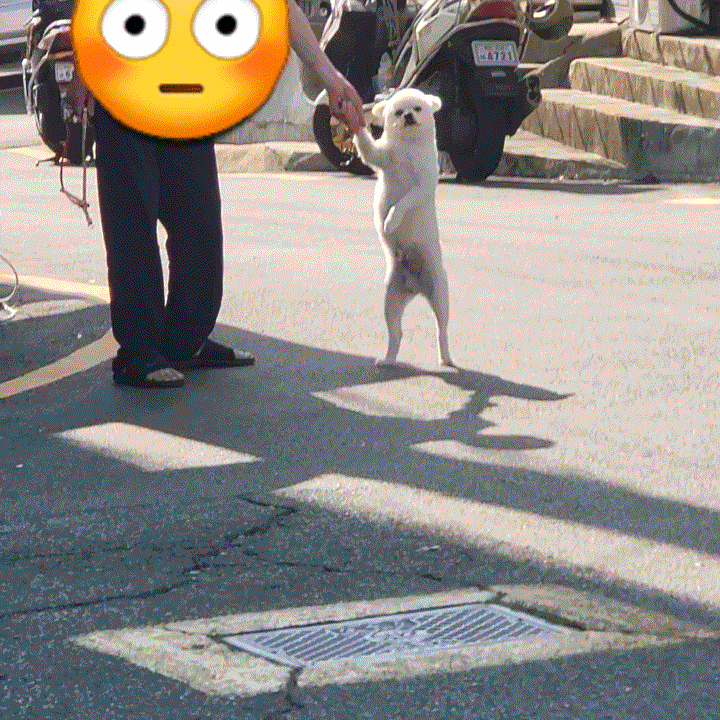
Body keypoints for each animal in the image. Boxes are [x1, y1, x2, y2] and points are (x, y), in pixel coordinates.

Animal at [353, 87, 453, 367]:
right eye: (398, 112)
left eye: (417, 108)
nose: (408, 115)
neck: (408, 148)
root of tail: (416, 287)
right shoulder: (381, 157)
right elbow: (367, 147)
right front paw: (354, 119)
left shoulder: (422, 186)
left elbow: (405, 200)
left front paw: (391, 220)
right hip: (391, 298)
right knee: (396, 332)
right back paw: (388, 359)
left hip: (440, 292)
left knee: (441, 329)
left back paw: (446, 357)